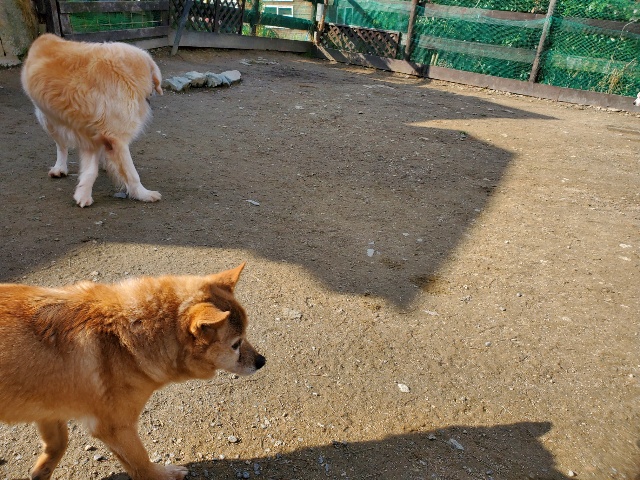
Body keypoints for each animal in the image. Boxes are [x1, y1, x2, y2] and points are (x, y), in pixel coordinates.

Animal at [0, 263, 265, 480]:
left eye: (245, 335)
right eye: (236, 344)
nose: (262, 361)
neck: (124, 338)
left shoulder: (50, 409)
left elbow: (58, 444)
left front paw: (40, 472)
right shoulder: (116, 428)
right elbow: (141, 464)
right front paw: (164, 474)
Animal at [21, 34, 163, 207]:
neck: (129, 73)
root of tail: (45, 36)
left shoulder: (95, 135)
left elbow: (90, 169)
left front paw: (82, 194)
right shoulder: (116, 137)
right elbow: (132, 173)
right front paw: (143, 194)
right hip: (47, 120)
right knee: (61, 146)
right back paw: (59, 168)